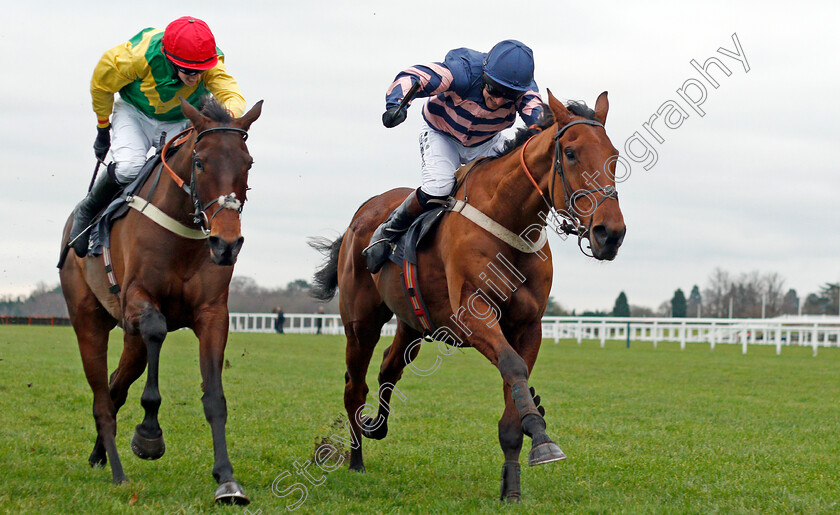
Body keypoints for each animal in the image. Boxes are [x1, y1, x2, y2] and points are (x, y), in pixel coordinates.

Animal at [58, 95, 262, 504]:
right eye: (200, 162)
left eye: (247, 163)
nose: (226, 244)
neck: (182, 232)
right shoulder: (138, 298)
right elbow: (156, 329)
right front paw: (149, 435)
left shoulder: (213, 314)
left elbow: (214, 397)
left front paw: (227, 479)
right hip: (88, 319)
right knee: (102, 398)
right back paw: (118, 472)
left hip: (128, 338)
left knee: (116, 386)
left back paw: (98, 455)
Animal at [312, 90, 628, 502]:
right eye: (571, 153)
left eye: (614, 154)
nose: (610, 233)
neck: (509, 222)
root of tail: (362, 214)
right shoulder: (472, 314)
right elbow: (512, 366)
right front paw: (542, 437)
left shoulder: (528, 325)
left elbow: (515, 385)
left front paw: (513, 482)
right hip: (360, 322)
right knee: (355, 386)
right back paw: (356, 460)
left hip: (413, 323)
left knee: (389, 366)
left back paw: (376, 426)